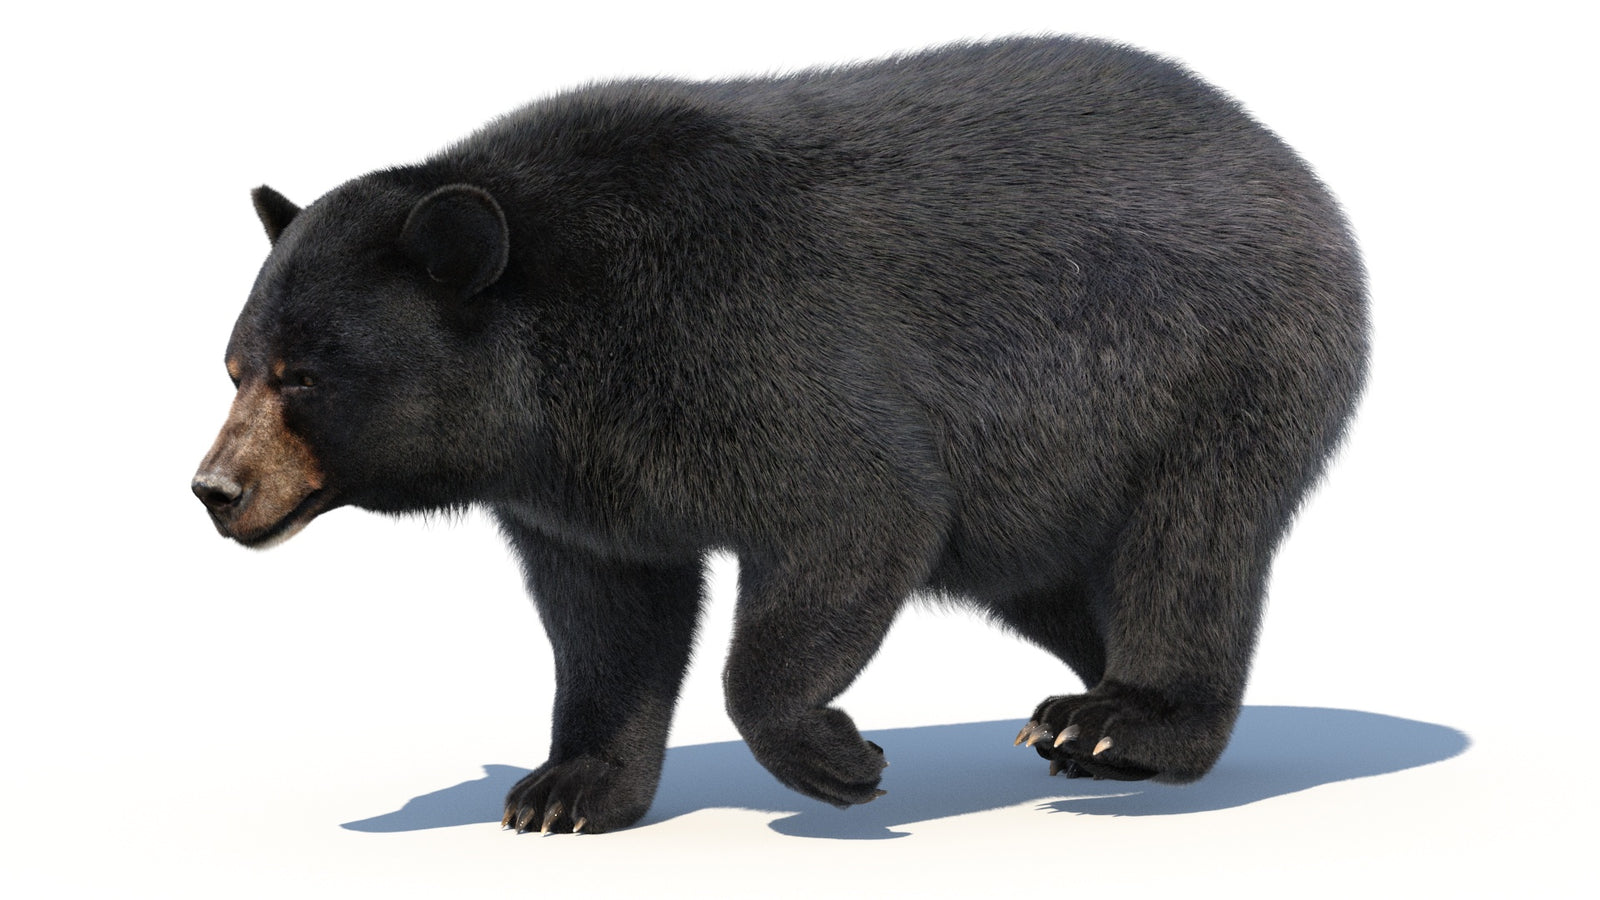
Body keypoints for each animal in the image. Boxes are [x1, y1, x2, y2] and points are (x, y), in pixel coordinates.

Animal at [193, 36, 1368, 835]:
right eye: (237, 367)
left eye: (306, 377)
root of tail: (1288, 161)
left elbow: (858, 506)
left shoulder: (741, 344)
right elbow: (610, 615)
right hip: (1046, 488)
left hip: (1215, 368)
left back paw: (1123, 723)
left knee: (1188, 545)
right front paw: (569, 789)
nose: (215, 489)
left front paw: (835, 757)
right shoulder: (578, 485)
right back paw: (1082, 706)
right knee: (1063, 579)